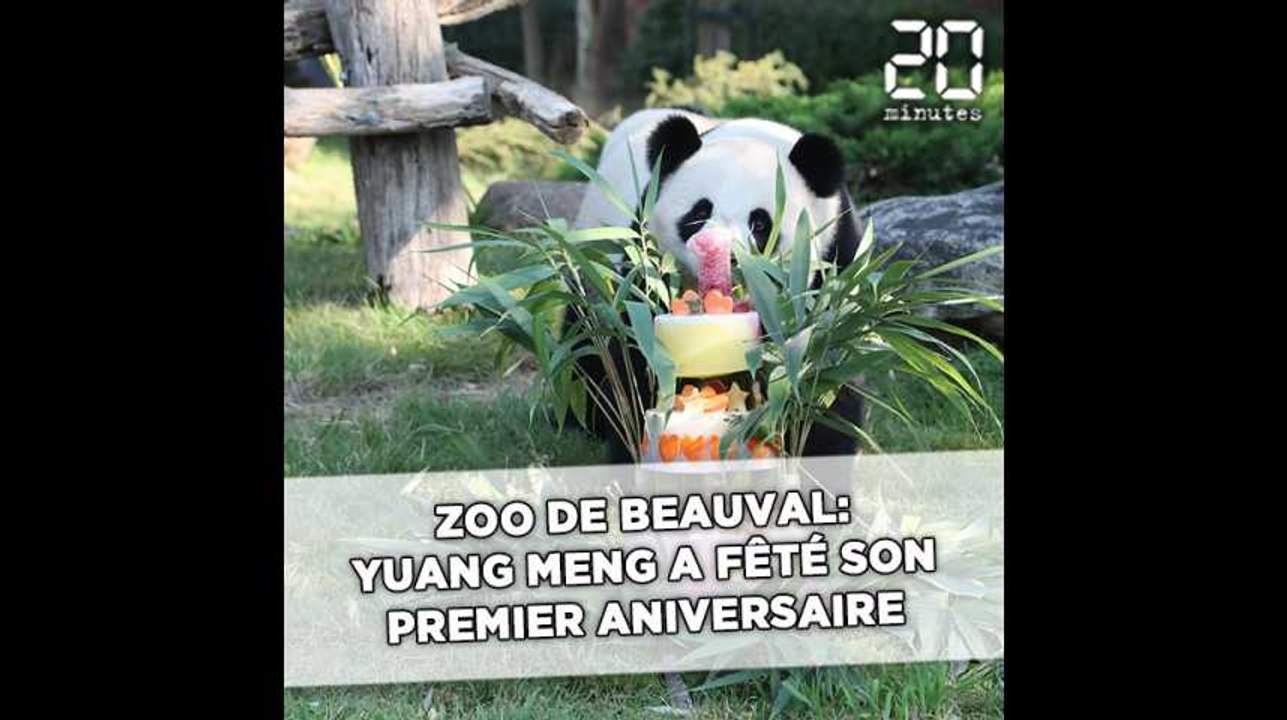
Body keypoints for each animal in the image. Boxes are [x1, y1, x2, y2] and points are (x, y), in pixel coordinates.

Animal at [570, 108, 867, 463]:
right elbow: (640, 355)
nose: (723, 253)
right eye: (699, 212)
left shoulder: (835, 263)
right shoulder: (645, 263)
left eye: (761, 223)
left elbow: (828, 361)